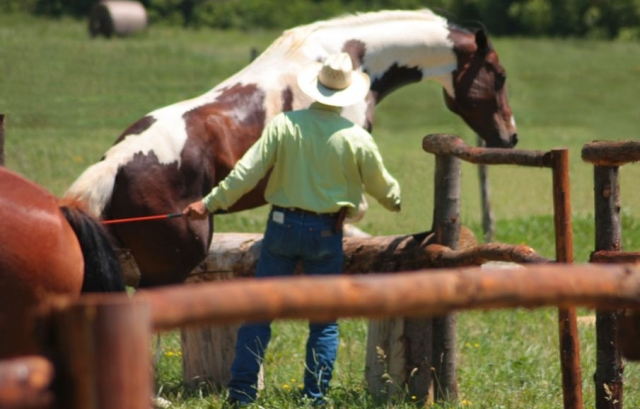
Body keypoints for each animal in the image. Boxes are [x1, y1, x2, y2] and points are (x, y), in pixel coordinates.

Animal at [63, 7, 516, 286]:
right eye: (499, 74)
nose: (509, 137)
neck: (350, 57)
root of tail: (115, 164)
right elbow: (354, 208)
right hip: (176, 259)